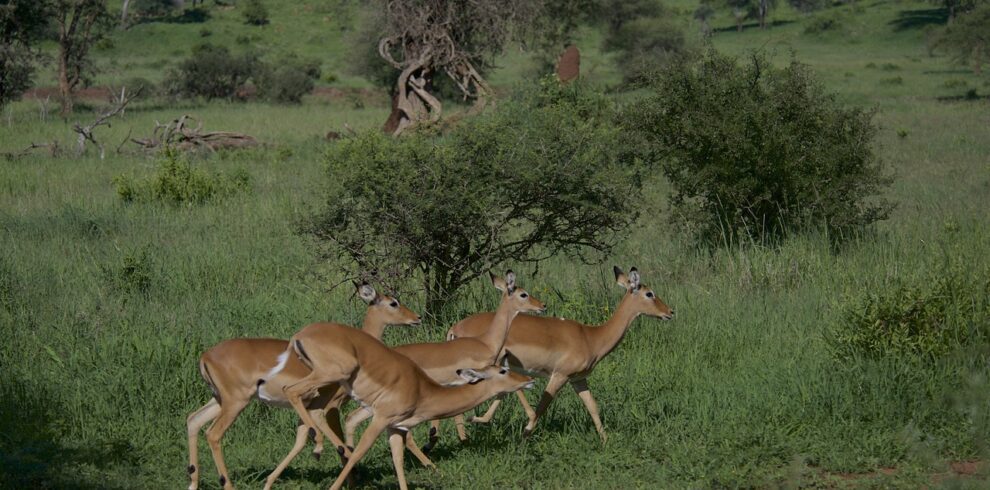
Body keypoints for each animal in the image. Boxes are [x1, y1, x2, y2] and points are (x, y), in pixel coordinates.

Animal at [185, 282, 422, 490]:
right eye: (393, 303)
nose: (417, 318)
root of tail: (205, 356)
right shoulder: (329, 406)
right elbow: (337, 441)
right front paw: (348, 477)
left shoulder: (305, 408)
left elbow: (299, 442)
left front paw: (270, 482)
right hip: (236, 402)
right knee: (213, 434)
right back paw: (227, 484)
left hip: (219, 400)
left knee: (193, 420)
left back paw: (193, 482)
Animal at [279, 324, 535, 490]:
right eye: (502, 370)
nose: (528, 379)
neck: (421, 390)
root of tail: (300, 334)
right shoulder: (380, 419)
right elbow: (360, 453)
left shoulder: (395, 428)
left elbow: (398, 461)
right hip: (331, 375)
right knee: (291, 391)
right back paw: (318, 447)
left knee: (311, 407)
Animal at [446, 266, 674, 443]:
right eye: (649, 293)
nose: (670, 312)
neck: (591, 337)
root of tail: (454, 329)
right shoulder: (559, 375)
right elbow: (542, 406)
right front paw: (523, 438)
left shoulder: (578, 379)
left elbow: (593, 406)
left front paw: (605, 441)